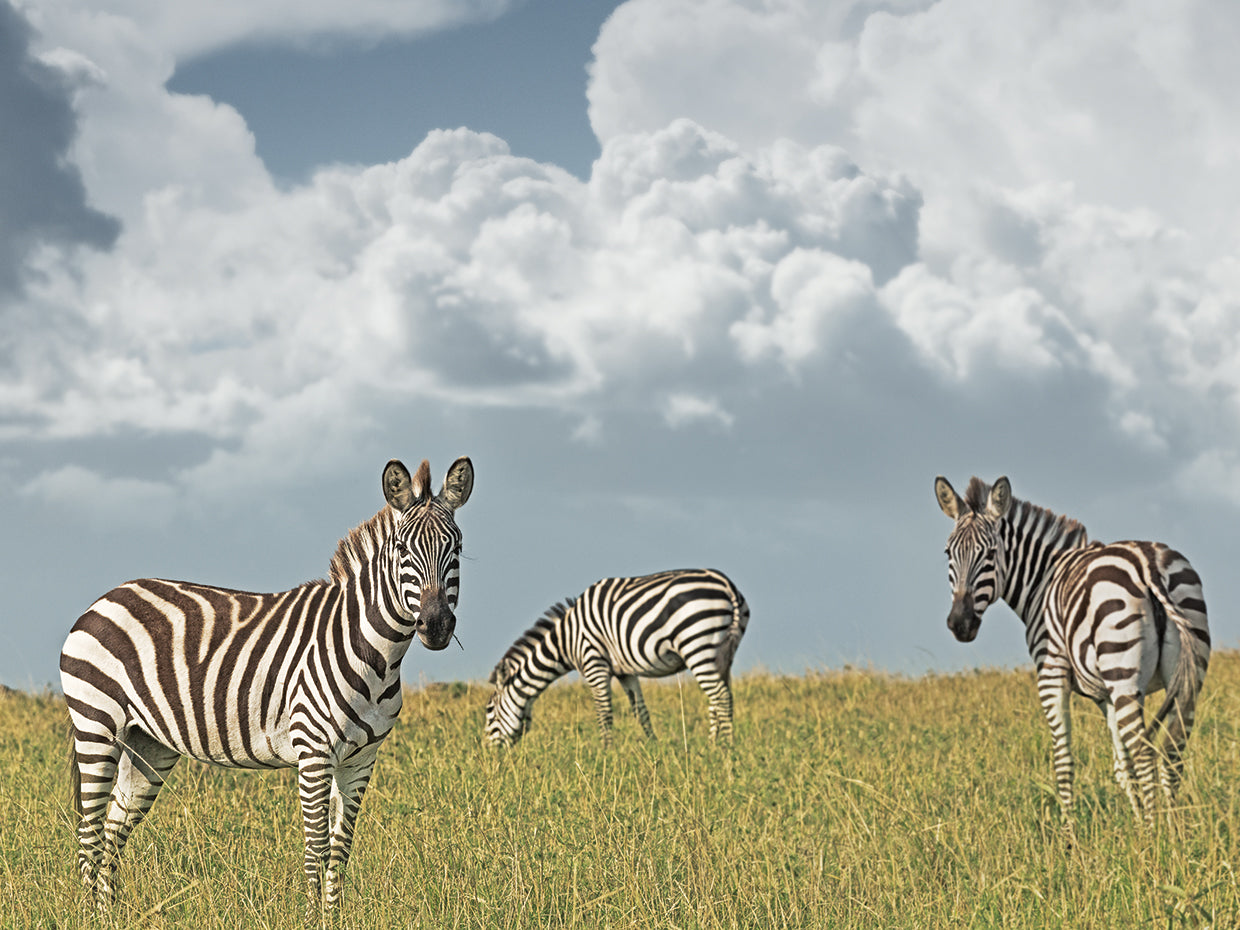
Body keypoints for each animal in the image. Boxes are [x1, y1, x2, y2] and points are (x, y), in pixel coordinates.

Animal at [60, 456, 473, 919]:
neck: (375, 654)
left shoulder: (361, 759)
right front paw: (312, 920)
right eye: (401, 549)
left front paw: (334, 918)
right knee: (89, 834)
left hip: (148, 743)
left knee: (112, 832)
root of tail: (105, 598)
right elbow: (316, 849)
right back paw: (86, 916)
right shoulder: (313, 751)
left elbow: (341, 848)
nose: (436, 625)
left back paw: (107, 915)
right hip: (96, 725)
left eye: (456, 548)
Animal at [485, 568, 748, 747]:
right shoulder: (625, 671)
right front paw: (654, 746)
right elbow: (640, 711)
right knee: (718, 698)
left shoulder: (594, 663)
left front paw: (606, 752)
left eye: (489, 712)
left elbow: (604, 712)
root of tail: (727, 585)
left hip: (697, 645)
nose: (488, 755)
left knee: (721, 697)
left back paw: (727, 749)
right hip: (723, 654)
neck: (567, 640)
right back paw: (712, 745)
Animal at [934, 474, 1210, 824]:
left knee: (1146, 754)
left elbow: (1064, 763)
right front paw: (1135, 827)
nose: (960, 623)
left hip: (1123, 671)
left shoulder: (1051, 674)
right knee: (1172, 753)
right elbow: (1123, 767)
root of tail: (1147, 561)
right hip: (1185, 675)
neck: (1041, 581)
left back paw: (1156, 834)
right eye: (948, 553)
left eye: (991, 553)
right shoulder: (1106, 695)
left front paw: (1070, 835)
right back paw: (1172, 832)